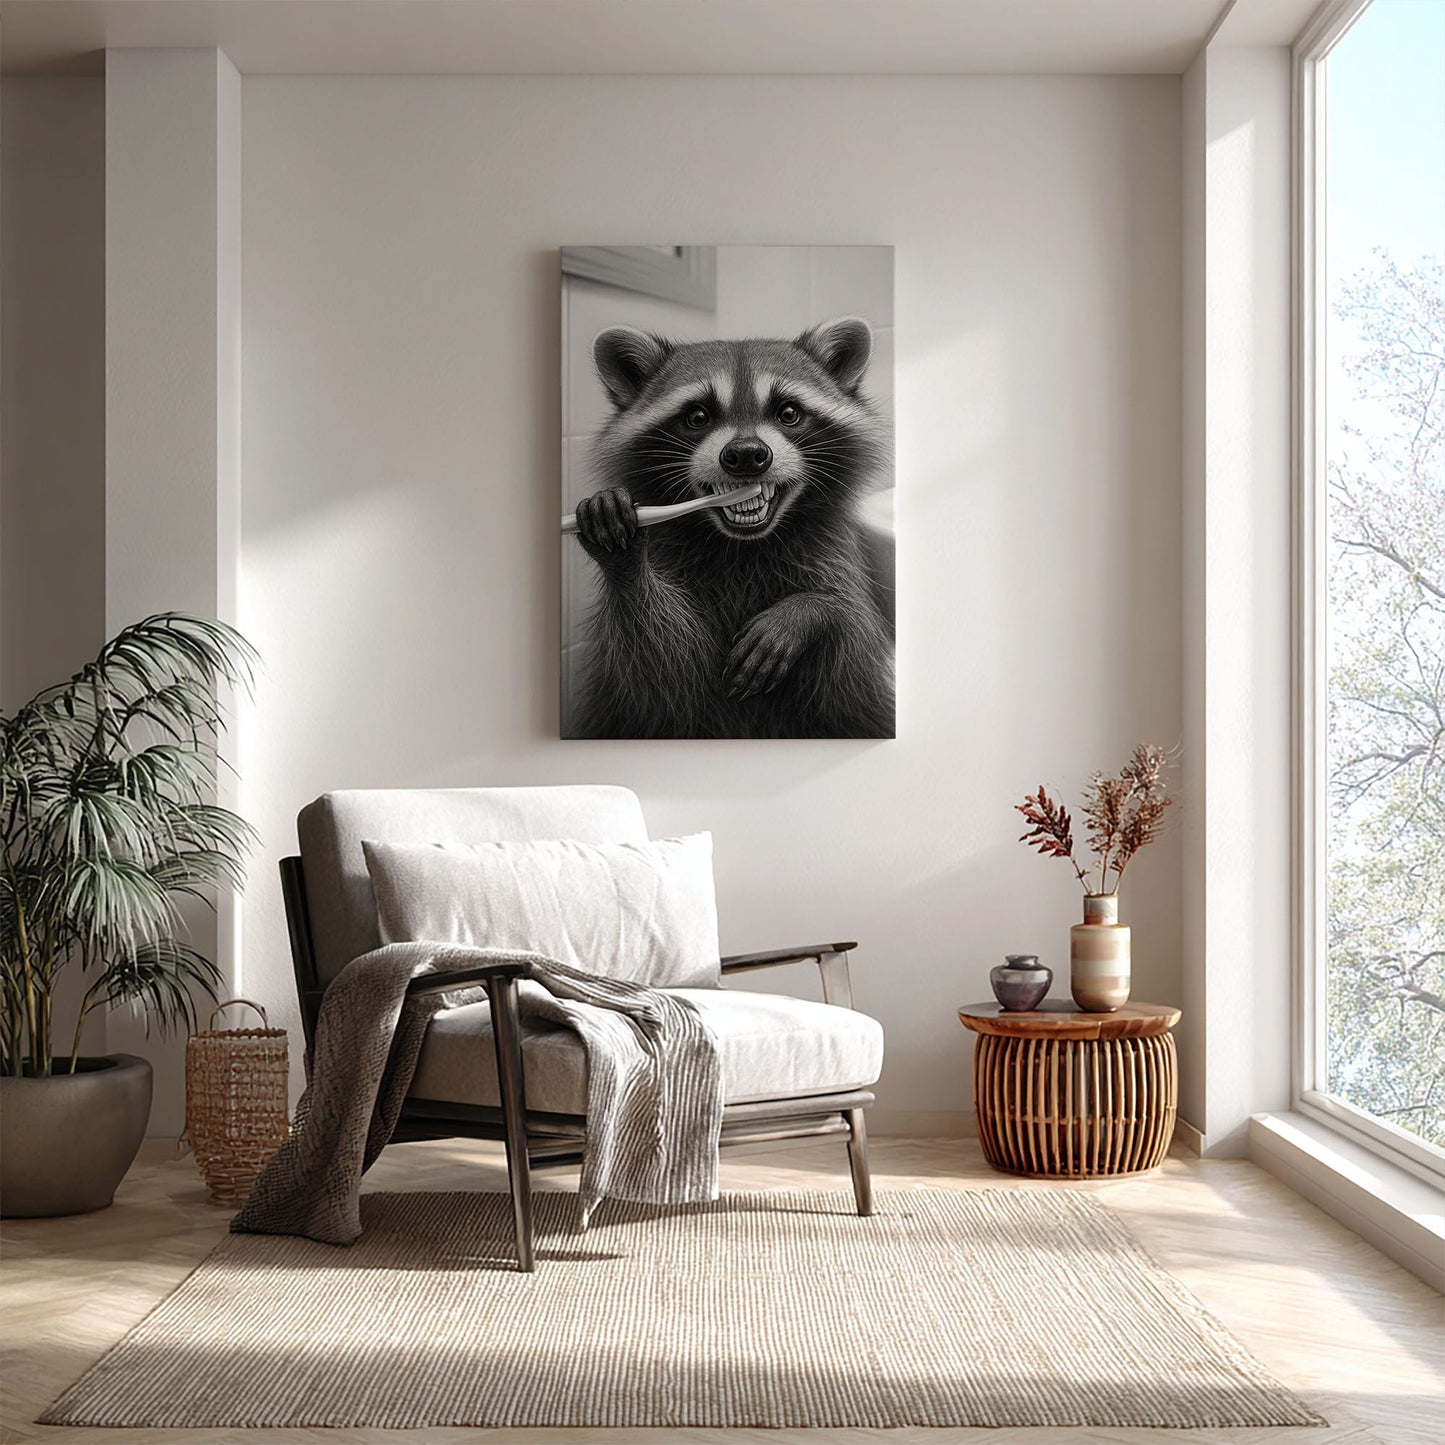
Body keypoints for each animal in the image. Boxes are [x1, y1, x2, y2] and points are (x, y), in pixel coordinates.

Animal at [570, 316, 895, 740]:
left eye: (788, 413)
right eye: (697, 416)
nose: (746, 455)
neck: (744, 545)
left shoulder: (833, 555)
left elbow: (854, 657)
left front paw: (812, 610)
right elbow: (664, 670)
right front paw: (623, 561)